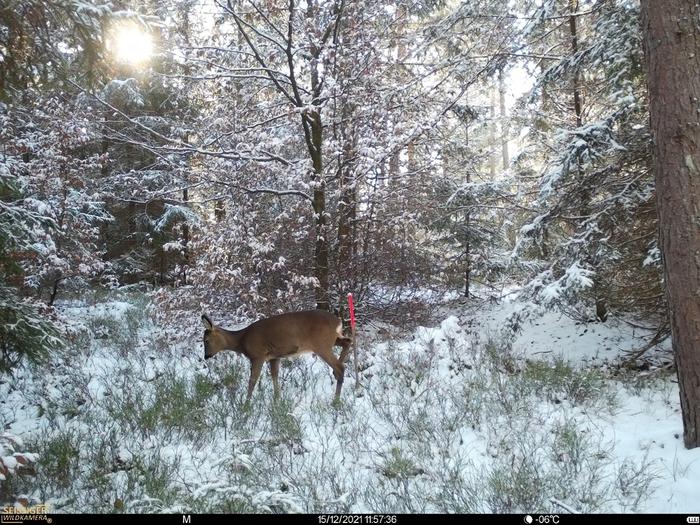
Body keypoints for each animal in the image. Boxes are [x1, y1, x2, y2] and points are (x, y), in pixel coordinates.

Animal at [201, 310, 353, 405]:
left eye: (206, 341)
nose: (206, 356)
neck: (242, 340)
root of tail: (338, 322)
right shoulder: (274, 357)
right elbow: (274, 376)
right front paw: (277, 401)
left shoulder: (258, 355)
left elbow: (252, 380)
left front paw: (245, 406)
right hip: (331, 340)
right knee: (348, 341)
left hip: (321, 344)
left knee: (340, 367)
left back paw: (335, 401)